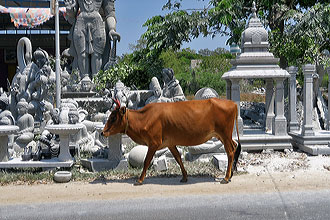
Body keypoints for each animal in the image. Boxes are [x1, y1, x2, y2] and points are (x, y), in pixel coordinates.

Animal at [102, 97, 241, 185]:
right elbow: (178, 159)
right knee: (235, 146)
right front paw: (185, 177)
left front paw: (140, 180)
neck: (144, 118)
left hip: (224, 134)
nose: (103, 132)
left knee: (230, 152)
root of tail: (233, 104)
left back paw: (226, 177)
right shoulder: (170, 144)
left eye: (113, 117)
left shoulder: (153, 143)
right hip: (224, 136)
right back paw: (230, 174)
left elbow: (146, 161)